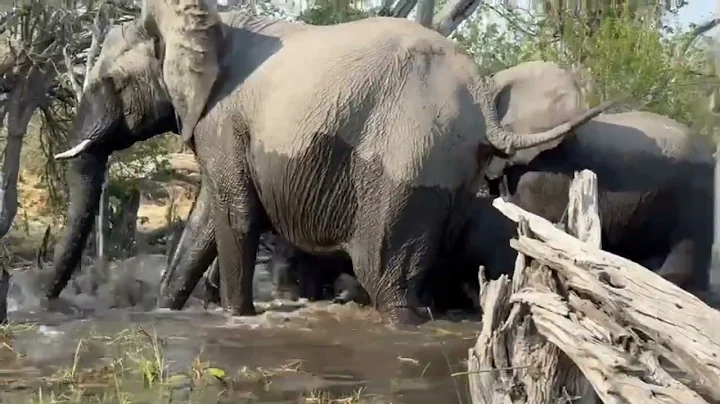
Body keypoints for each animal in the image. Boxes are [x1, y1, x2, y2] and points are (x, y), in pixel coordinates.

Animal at [48, 2, 614, 324]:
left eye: (111, 83)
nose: (44, 304)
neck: (203, 24)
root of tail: (481, 96)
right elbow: (206, 221)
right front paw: (166, 312)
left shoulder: (222, 116)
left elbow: (235, 215)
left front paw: (236, 317)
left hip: (412, 153)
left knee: (382, 273)